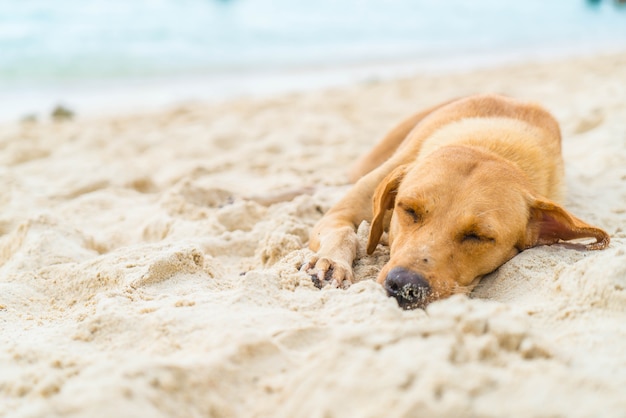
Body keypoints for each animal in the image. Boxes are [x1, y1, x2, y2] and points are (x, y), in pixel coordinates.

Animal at [304, 95, 608, 310]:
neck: (487, 147)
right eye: (409, 210)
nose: (404, 286)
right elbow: (344, 232)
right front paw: (332, 262)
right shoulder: (340, 214)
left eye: (478, 236)